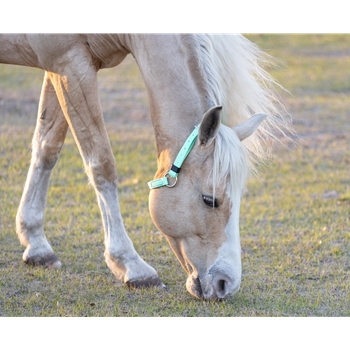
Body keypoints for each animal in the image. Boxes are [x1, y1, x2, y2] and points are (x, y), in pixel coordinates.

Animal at [0, 34, 288, 300]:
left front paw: (36, 245)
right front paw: (131, 265)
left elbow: (47, 147)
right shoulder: (69, 64)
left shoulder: (55, 68)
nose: (225, 285)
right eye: (209, 200)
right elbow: (101, 165)